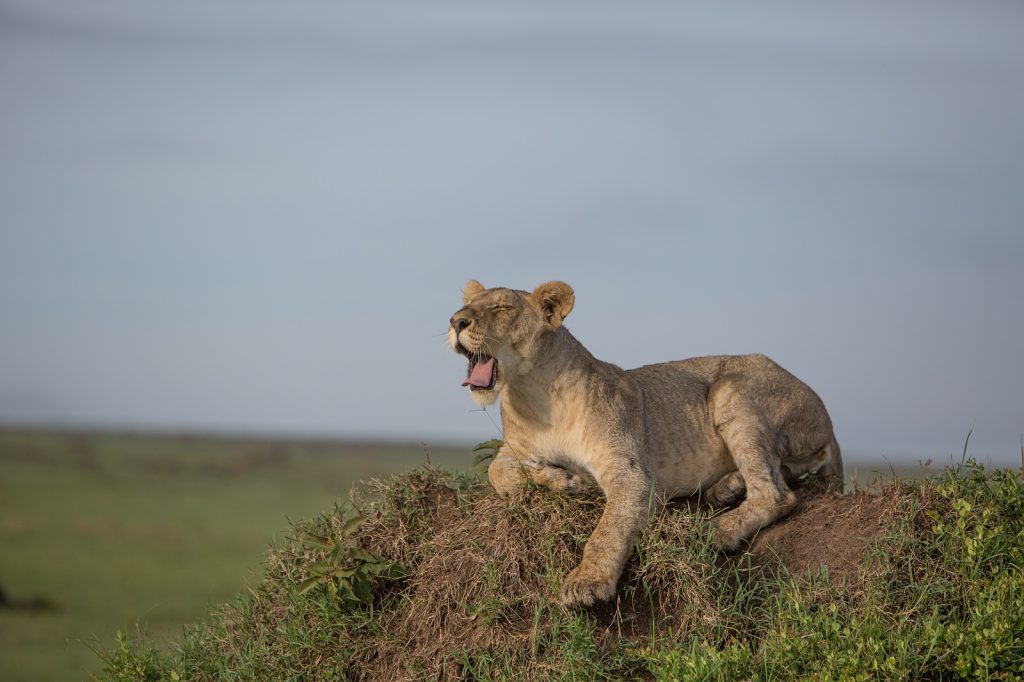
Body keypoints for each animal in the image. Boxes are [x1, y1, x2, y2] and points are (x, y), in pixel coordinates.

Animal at [449, 280, 842, 609]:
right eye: (466, 305)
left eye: (501, 307)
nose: (455, 321)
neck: (534, 394)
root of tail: (826, 415)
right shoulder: (514, 450)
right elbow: (498, 472)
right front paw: (563, 480)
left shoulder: (632, 473)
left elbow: (608, 530)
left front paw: (586, 581)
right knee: (780, 472)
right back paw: (725, 489)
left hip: (731, 389)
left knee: (776, 494)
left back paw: (716, 531)